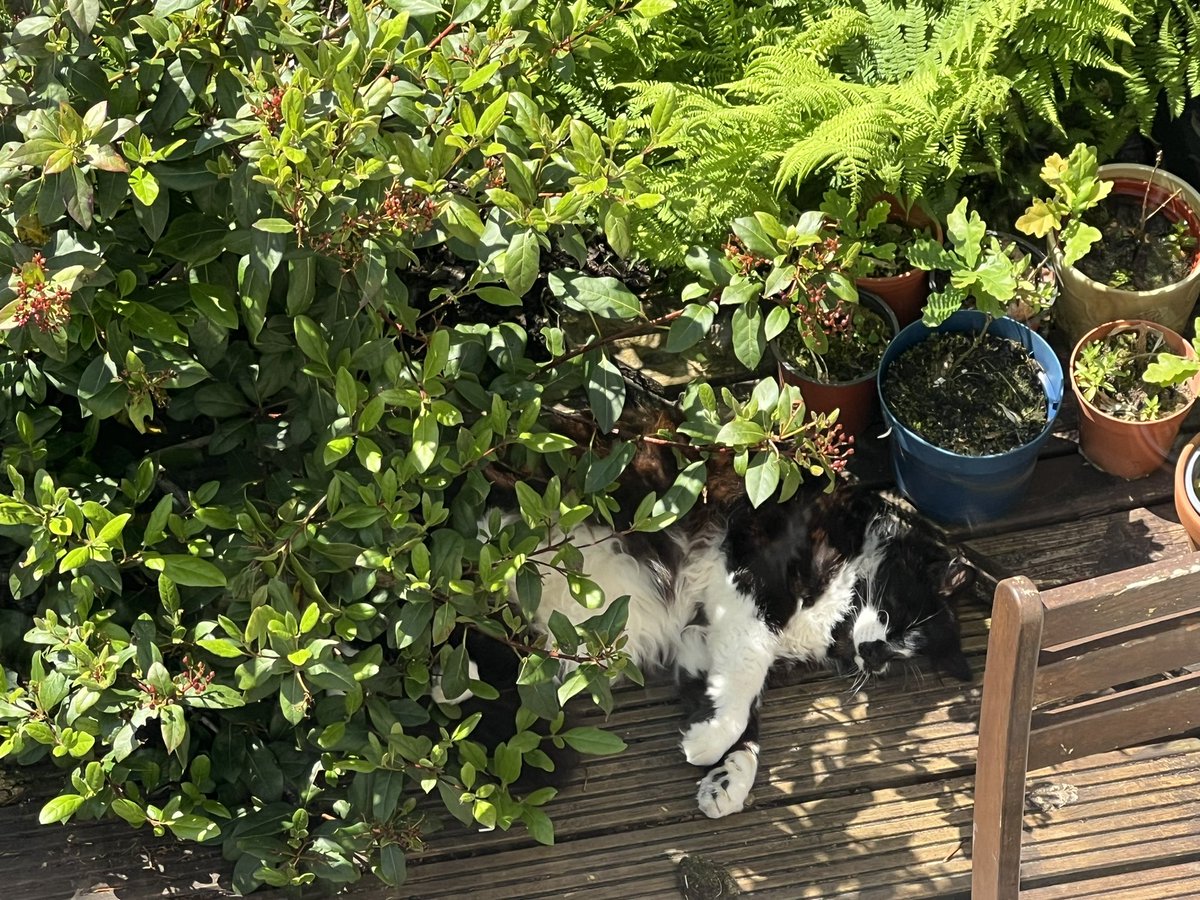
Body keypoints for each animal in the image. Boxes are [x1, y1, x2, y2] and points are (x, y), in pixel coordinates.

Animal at [458, 482, 974, 820]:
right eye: (897, 611)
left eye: (900, 658)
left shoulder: (709, 633)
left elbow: (734, 705)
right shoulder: (749, 586)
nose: (875, 653)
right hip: (497, 564)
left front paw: (726, 778)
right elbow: (741, 693)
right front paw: (708, 747)